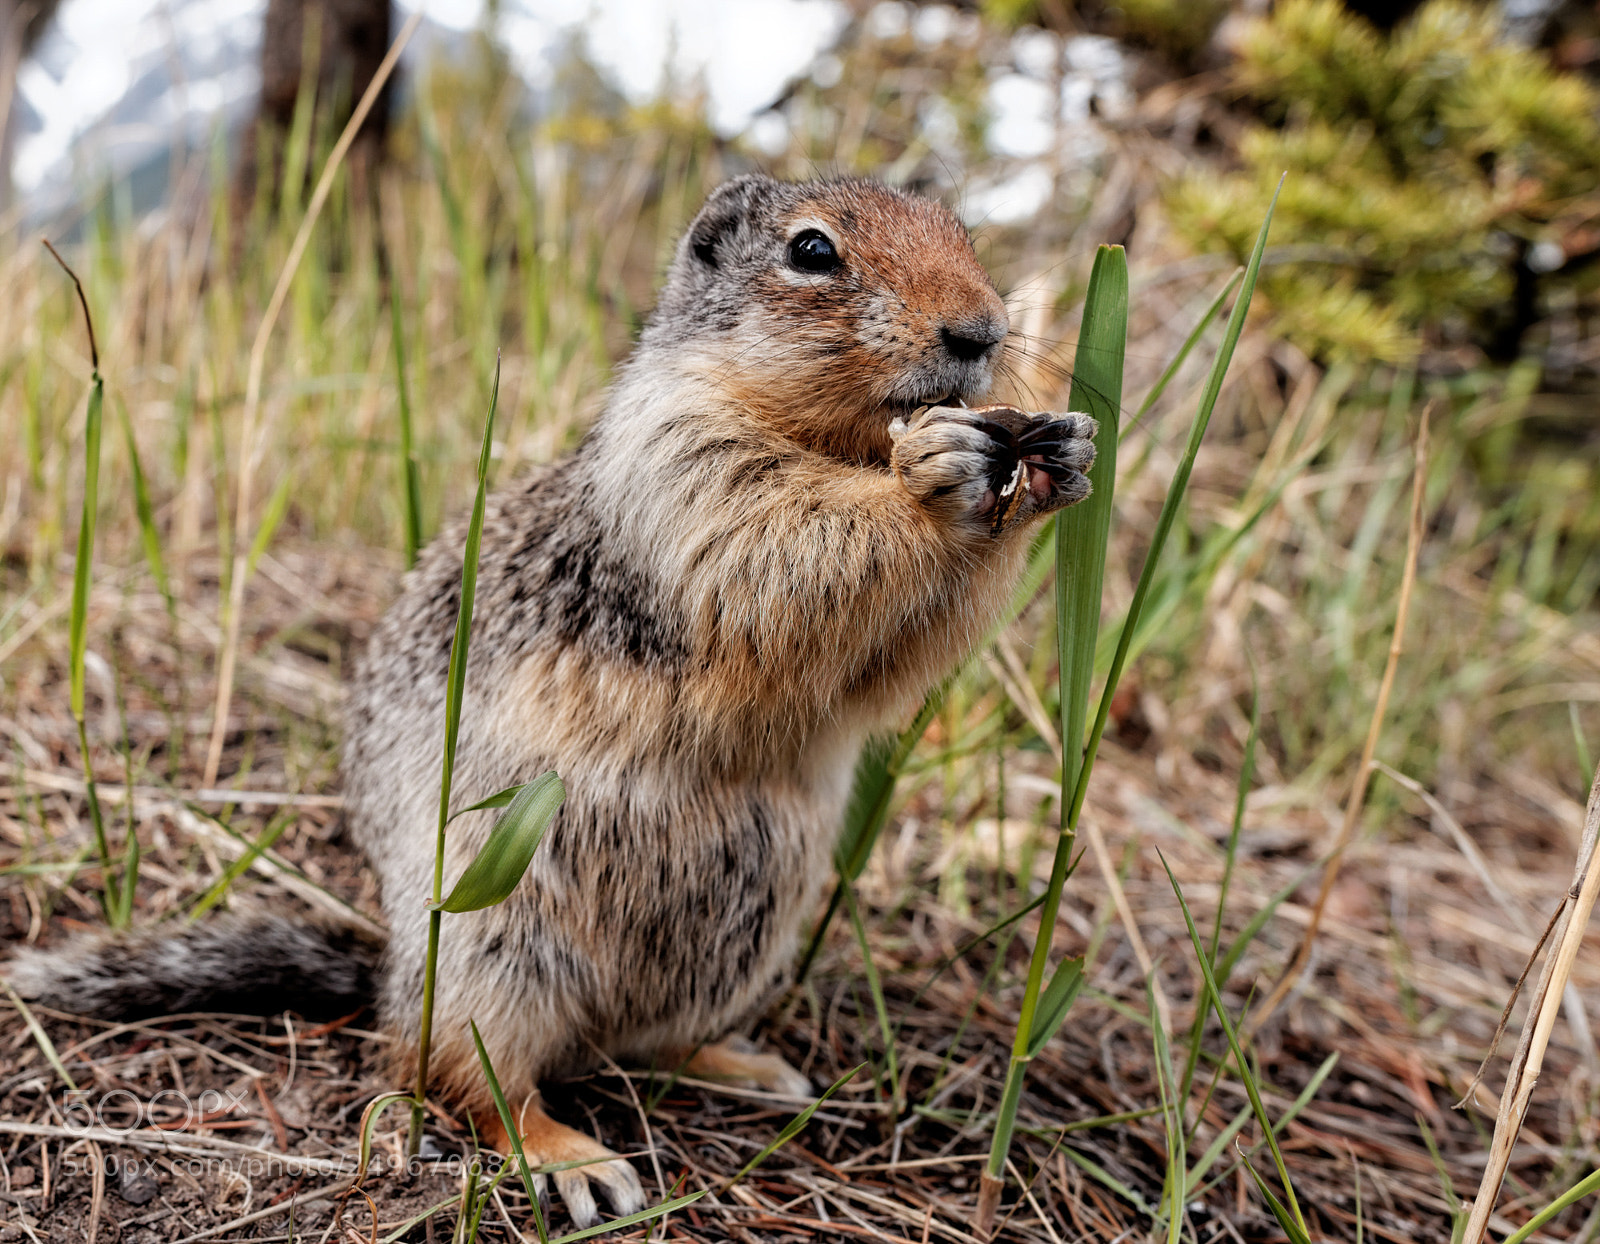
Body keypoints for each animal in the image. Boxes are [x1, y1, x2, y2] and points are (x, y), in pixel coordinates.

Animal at [7, 175, 1096, 1228]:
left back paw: (745, 1065)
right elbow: (775, 540)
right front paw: (935, 472)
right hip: (496, 942)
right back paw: (575, 1161)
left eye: (962, 231)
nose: (982, 330)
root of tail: (391, 966)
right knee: (457, 1073)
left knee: (637, 1041)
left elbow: (896, 659)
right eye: (812, 249)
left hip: (740, 939)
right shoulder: (683, 463)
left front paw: (1060, 446)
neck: (842, 436)